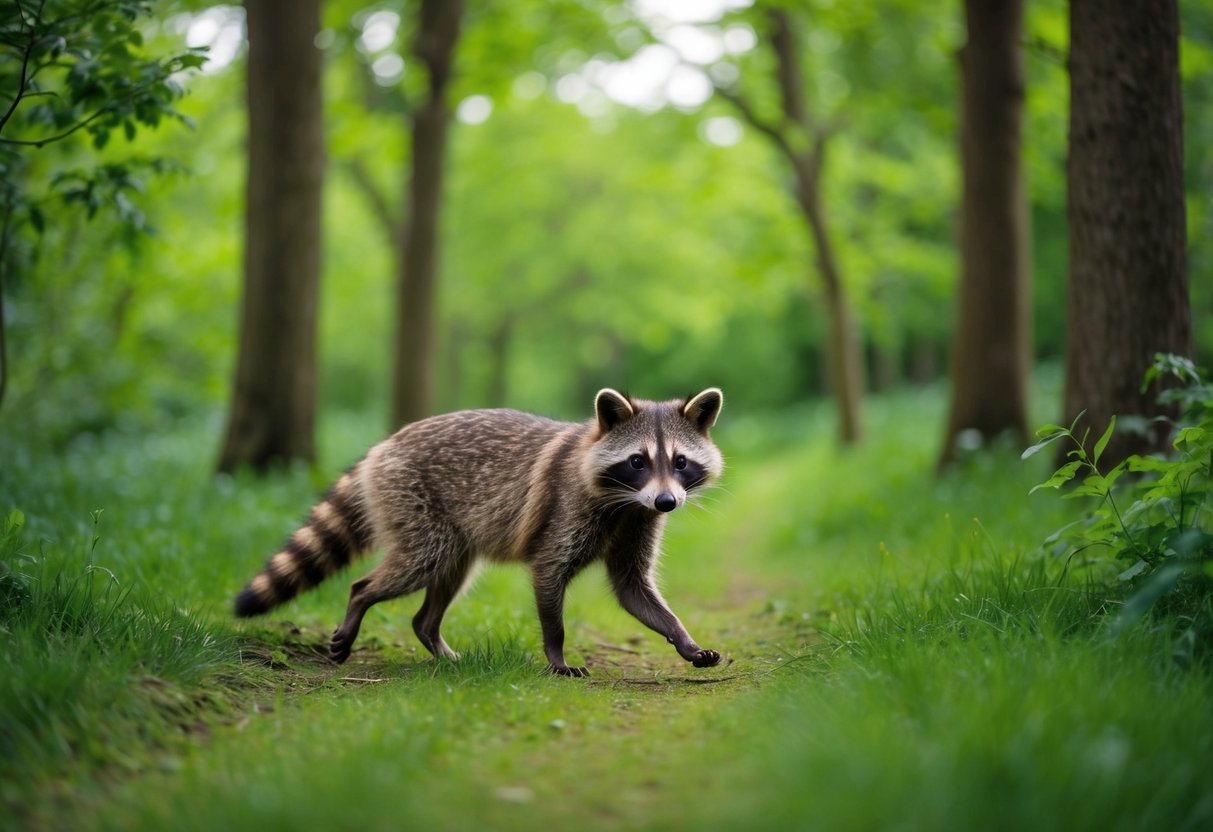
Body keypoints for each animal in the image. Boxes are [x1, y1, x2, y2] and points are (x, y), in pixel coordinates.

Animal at [234, 387, 725, 676]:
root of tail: (384, 445)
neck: (627, 501)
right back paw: (361, 599)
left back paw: (434, 639)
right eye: (637, 461)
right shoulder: (565, 513)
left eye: (680, 462)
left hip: (453, 535)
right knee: (405, 568)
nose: (667, 502)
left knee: (441, 586)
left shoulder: (637, 523)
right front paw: (557, 654)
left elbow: (632, 588)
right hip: (412, 501)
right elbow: (550, 579)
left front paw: (684, 638)